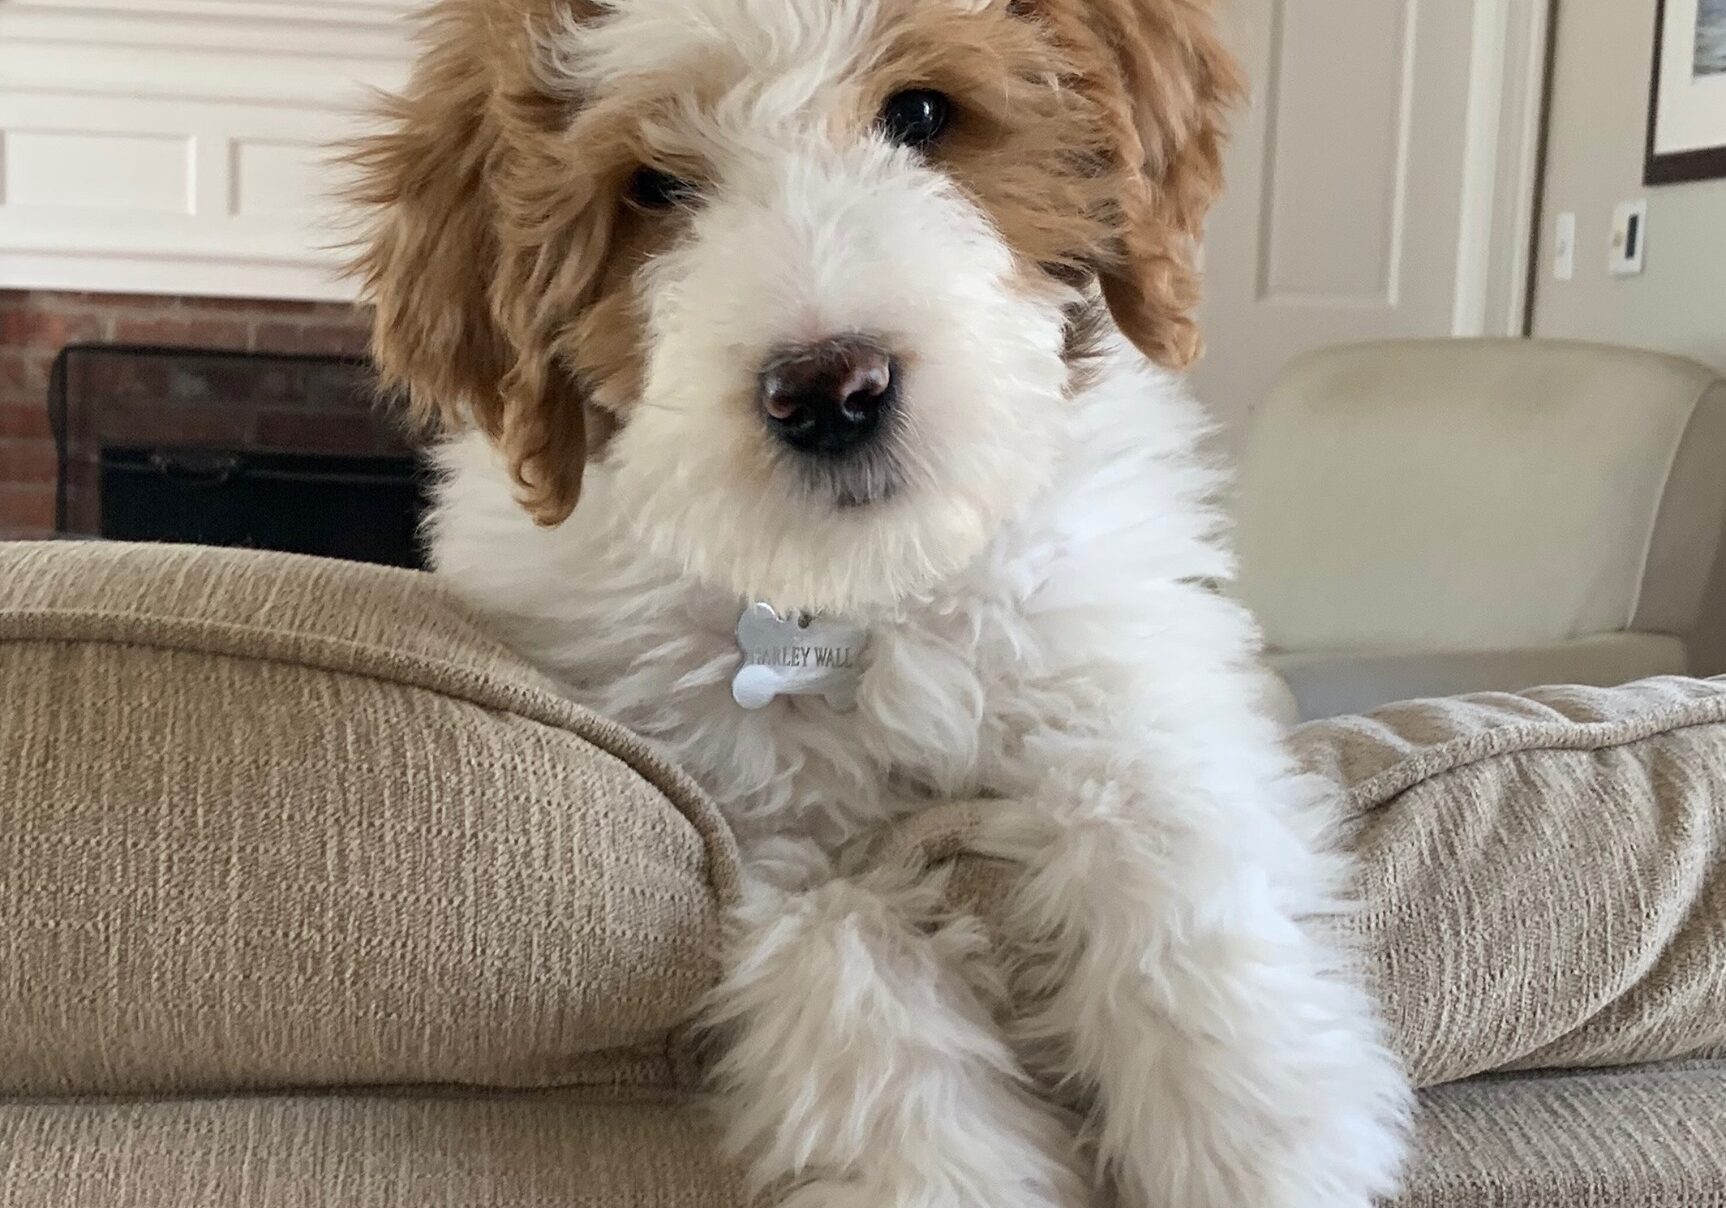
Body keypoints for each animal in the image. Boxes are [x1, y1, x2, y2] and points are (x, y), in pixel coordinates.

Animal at [353, 0, 1415, 1201]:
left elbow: (1153, 813)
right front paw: (950, 1170)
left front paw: (1255, 1125)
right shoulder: (754, 831)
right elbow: (842, 957)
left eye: (920, 114)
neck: (857, 590)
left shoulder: (1123, 656)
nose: (829, 390)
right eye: (653, 187)